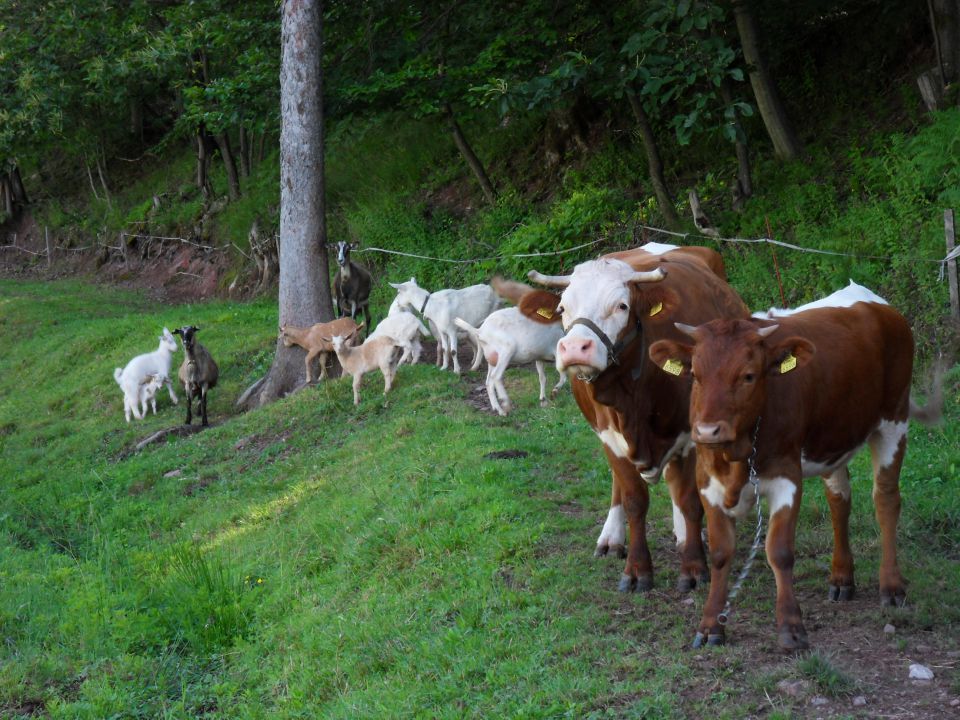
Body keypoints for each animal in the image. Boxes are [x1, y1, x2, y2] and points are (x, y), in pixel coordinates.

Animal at [528, 242, 748, 592]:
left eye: (621, 305)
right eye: (562, 309)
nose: (575, 348)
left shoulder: (691, 435)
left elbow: (689, 499)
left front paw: (693, 566)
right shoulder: (610, 436)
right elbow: (634, 500)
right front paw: (636, 569)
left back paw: (684, 534)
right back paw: (612, 538)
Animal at [648, 286, 940, 652]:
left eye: (748, 375)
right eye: (695, 376)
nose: (708, 431)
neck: (736, 455)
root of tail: (873, 301)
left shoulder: (786, 477)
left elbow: (780, 551)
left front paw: (791, 626)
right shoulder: (707, 482)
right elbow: (720, 553)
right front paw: (710, 624)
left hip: (894, 419)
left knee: (886, 500)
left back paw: (891, 585)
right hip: (833, 438)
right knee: (839, 500)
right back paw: (841, 577)